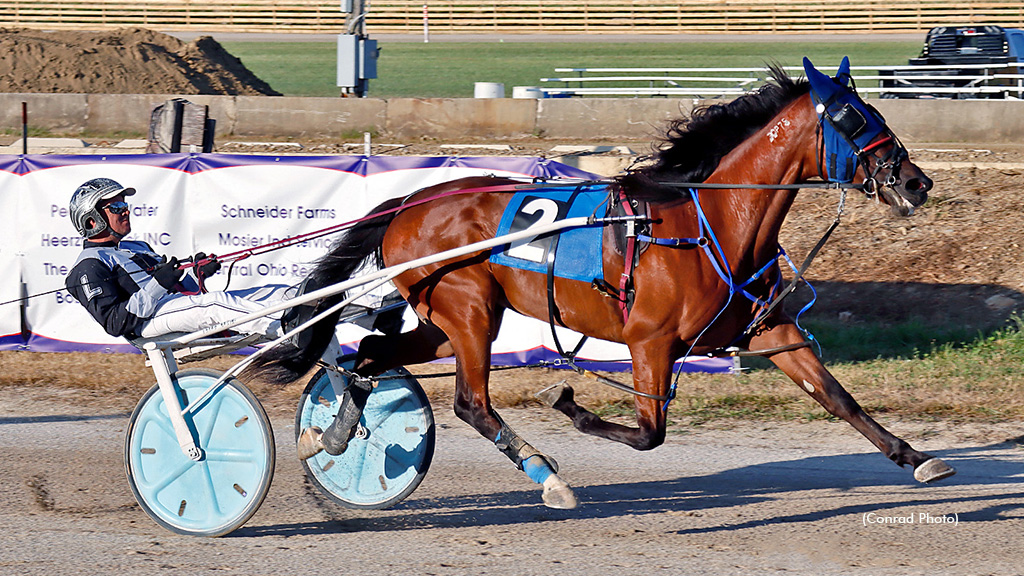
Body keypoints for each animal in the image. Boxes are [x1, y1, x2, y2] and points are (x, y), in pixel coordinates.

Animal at [245, 58, 954, 509]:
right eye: (853, 118)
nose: (916, 182)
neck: (712, 219)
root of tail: (410, 201)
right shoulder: (650, 341)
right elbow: (648, 432)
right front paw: (568, 403)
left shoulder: (770, 327)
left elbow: (838, 397)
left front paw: (917, 456)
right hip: (467, 310)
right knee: (470, 402)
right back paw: (546, 476)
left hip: (450, 317)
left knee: (370, 353)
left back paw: (330, 435)